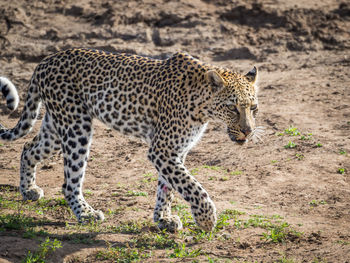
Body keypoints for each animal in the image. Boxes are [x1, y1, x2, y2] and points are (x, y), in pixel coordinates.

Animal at [0, 48, 262, 232]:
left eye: (254, 108)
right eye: (232, 108)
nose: (248, 131)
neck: (202, 106)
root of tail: (45, 61)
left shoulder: (174, 152)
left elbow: (168, 186)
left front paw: (163, 219)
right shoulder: (163, 150)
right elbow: (190, 185)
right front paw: (206, 219)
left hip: (57, 126)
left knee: (28, 148)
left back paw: (28, 189)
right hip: (76, 127)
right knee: (69, 182)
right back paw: (86, 214)